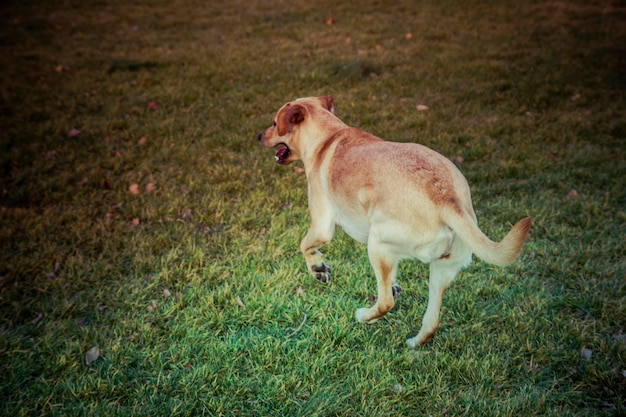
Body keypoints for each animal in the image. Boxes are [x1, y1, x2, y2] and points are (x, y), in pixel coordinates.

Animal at [256, 96, 528, 344]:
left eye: (274, 123)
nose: (258, 135)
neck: (328, 136)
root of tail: (447, 198)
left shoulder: (322, 224)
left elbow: (305, 245)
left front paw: (318, 268)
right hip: (442, 269)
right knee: (431, 322)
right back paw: (413, 342)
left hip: (377, 245)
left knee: (385, 302)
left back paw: (364, 315)